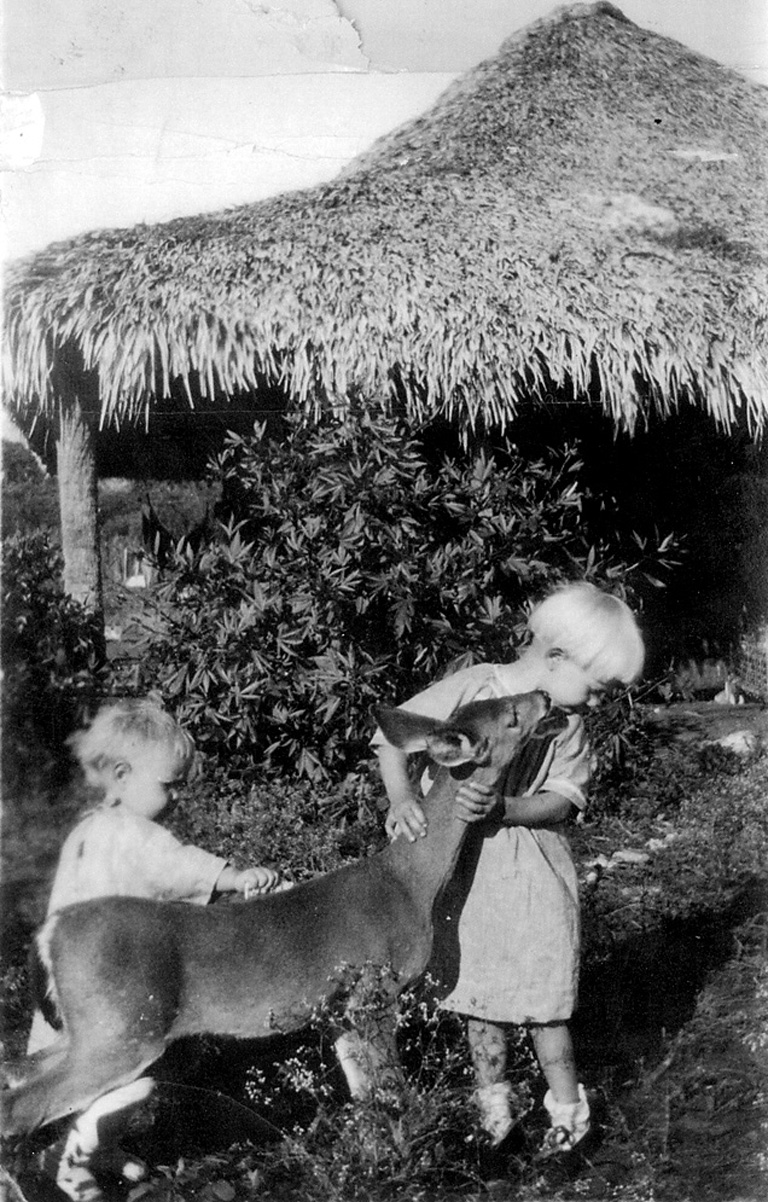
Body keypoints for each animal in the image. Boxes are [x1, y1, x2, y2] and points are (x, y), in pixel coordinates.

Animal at [1, 692, 564, 1197]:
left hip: (94, 1030)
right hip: (123, 1028)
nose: (543, 695)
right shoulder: (374, 989)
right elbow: (392, 1091)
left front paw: (376, 1161)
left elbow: (365, 1095)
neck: (410, 883)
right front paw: (410, 1166)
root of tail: (50, 932)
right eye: (513, 715)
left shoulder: (338, 1009)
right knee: (20, 1108)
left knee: (17, 1073)